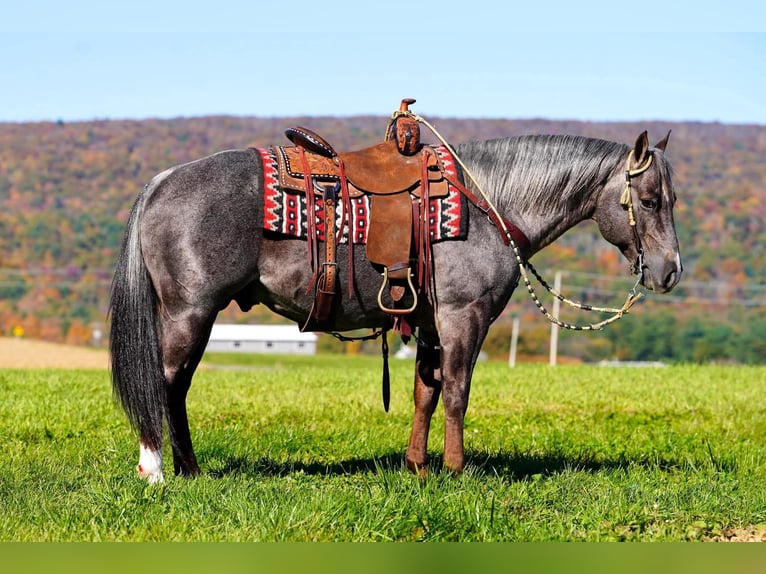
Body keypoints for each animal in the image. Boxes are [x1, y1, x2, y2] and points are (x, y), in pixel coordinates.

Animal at [109, 128, 681, 483]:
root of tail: (162, 180)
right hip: (190, 313)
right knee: (166, 383)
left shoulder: (428, 323)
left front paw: (418, 466)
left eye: (672, 201)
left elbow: (424, 393)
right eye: (649, 201)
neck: (490, 204)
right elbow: (457, 392)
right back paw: (160, 470)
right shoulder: (464, 316)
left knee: (176, 387)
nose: (670, 271)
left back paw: (185, 468)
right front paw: (455, 469)